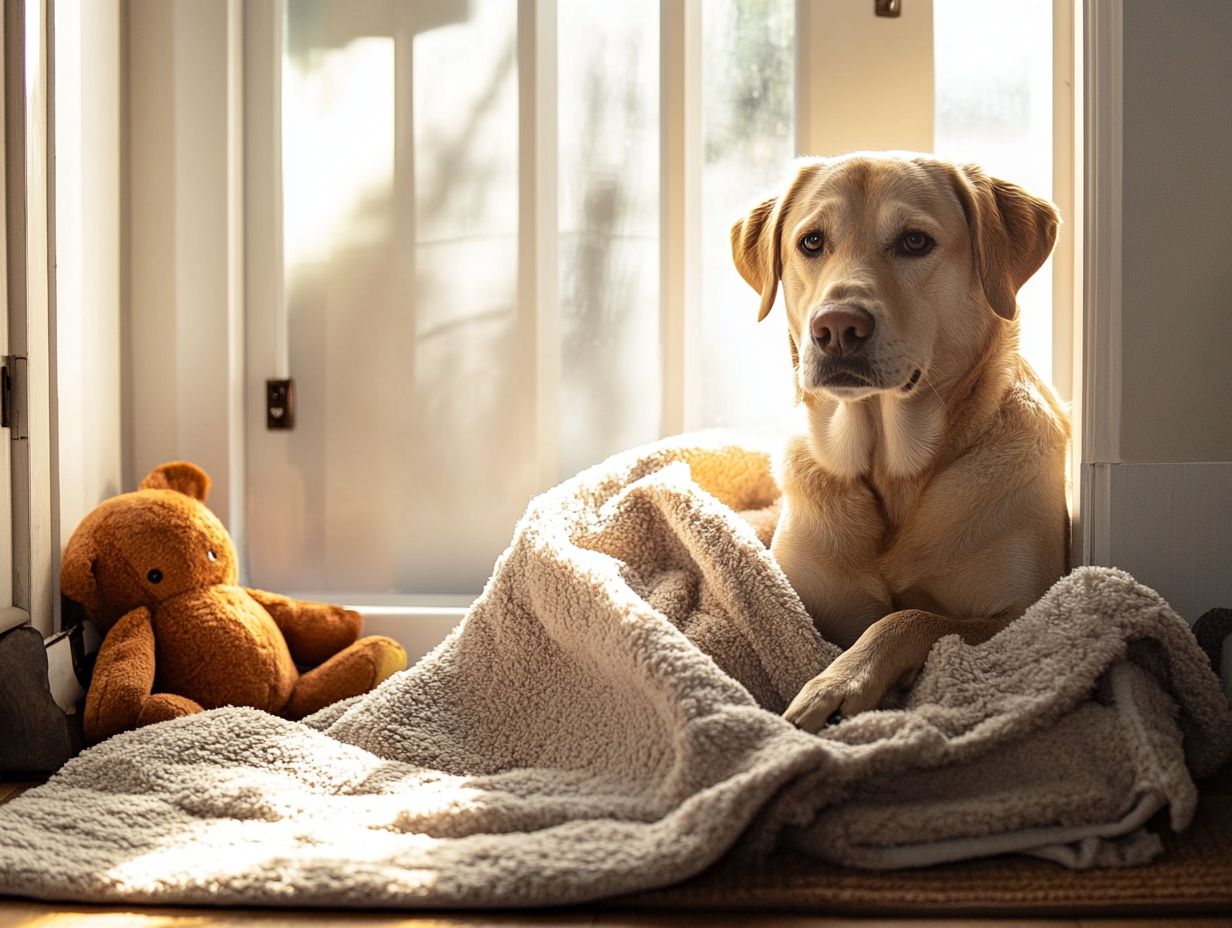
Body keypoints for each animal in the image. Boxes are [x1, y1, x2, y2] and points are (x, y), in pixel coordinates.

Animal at [729, 152, 1069, 729]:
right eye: (812, 242)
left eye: (914, 242)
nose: (836, 327)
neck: (891, 469)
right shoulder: (796, 602)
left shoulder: (1024, 615)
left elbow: (912, 616)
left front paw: (839, 680)